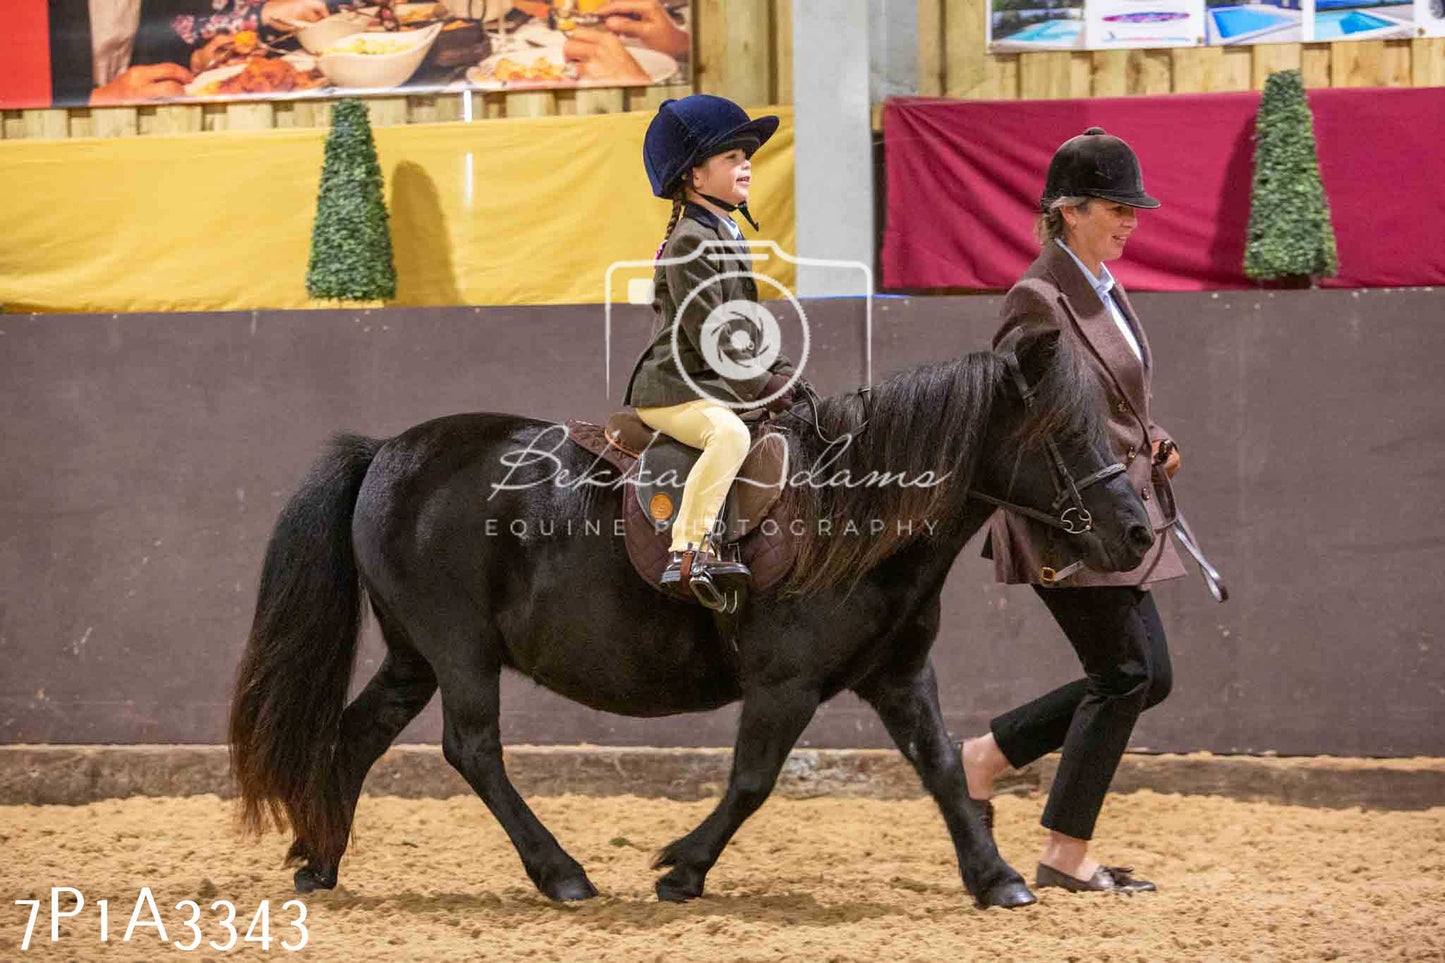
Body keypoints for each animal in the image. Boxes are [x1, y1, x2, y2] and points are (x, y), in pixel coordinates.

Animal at [228, 329, 1150, 908]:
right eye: (1063, 432)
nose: (1138, 531)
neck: (850, 512)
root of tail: (386, 451)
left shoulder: (897, 675)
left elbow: (945, 771)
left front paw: (997, 877)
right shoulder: (785, 682)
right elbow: (752, 780)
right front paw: (681, 869)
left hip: (414, 655)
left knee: (357, 735)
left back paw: (320, 860)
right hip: (459, 651)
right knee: (472, 749)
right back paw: (560, 872)